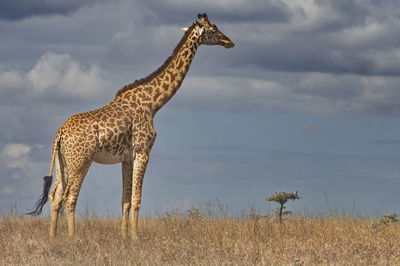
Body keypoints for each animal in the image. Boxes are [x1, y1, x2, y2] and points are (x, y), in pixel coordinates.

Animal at [28, 13, 234, 240]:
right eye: (213, 30)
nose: (229, 42)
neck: (154, 103)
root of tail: (60, 134)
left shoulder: (126, 158)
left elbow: (125, 200)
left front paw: (124, 236)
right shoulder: (143, 152)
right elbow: (137, 199)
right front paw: (136, 237)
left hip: (62, 162)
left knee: (54, 196)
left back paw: (53, 237)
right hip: (81, 160)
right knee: (69, 196)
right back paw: (73, 237)